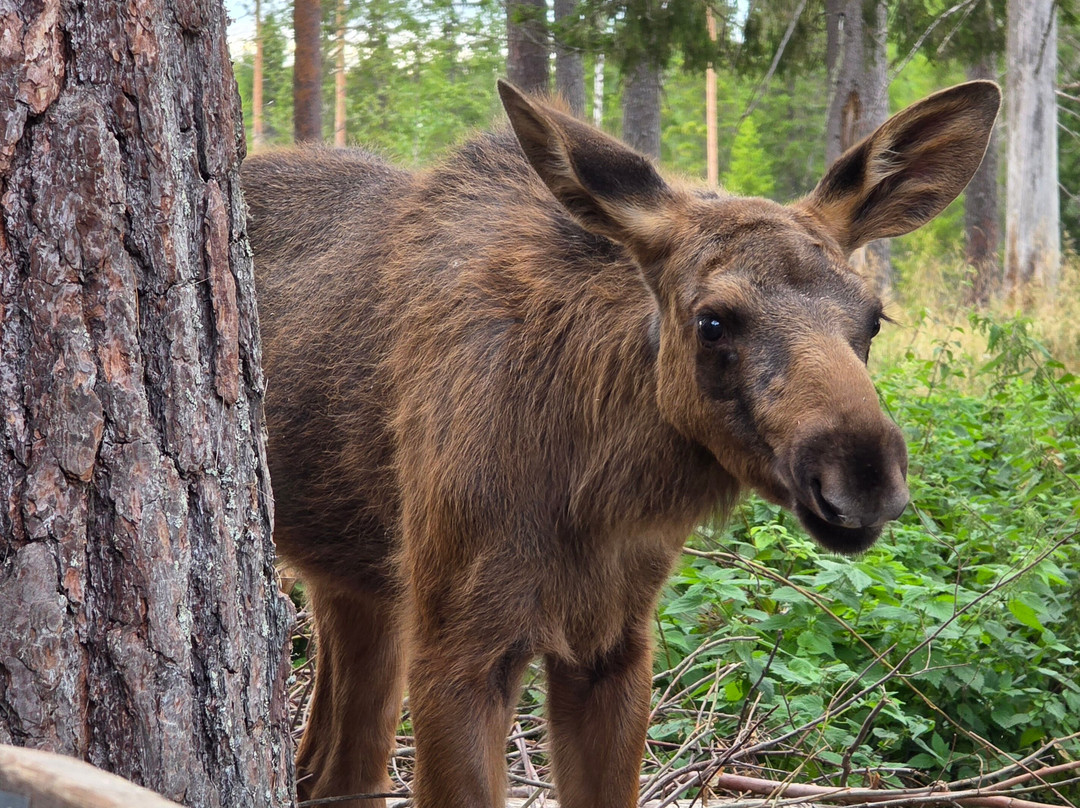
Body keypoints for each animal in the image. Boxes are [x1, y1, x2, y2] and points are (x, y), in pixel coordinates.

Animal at [241, 79, 1001, 808]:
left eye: (872, 319)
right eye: (713, 321)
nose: (862, 474)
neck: (592, 491)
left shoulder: (614, 644)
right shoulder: (457, 646)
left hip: (360, 583)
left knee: (328, 768)